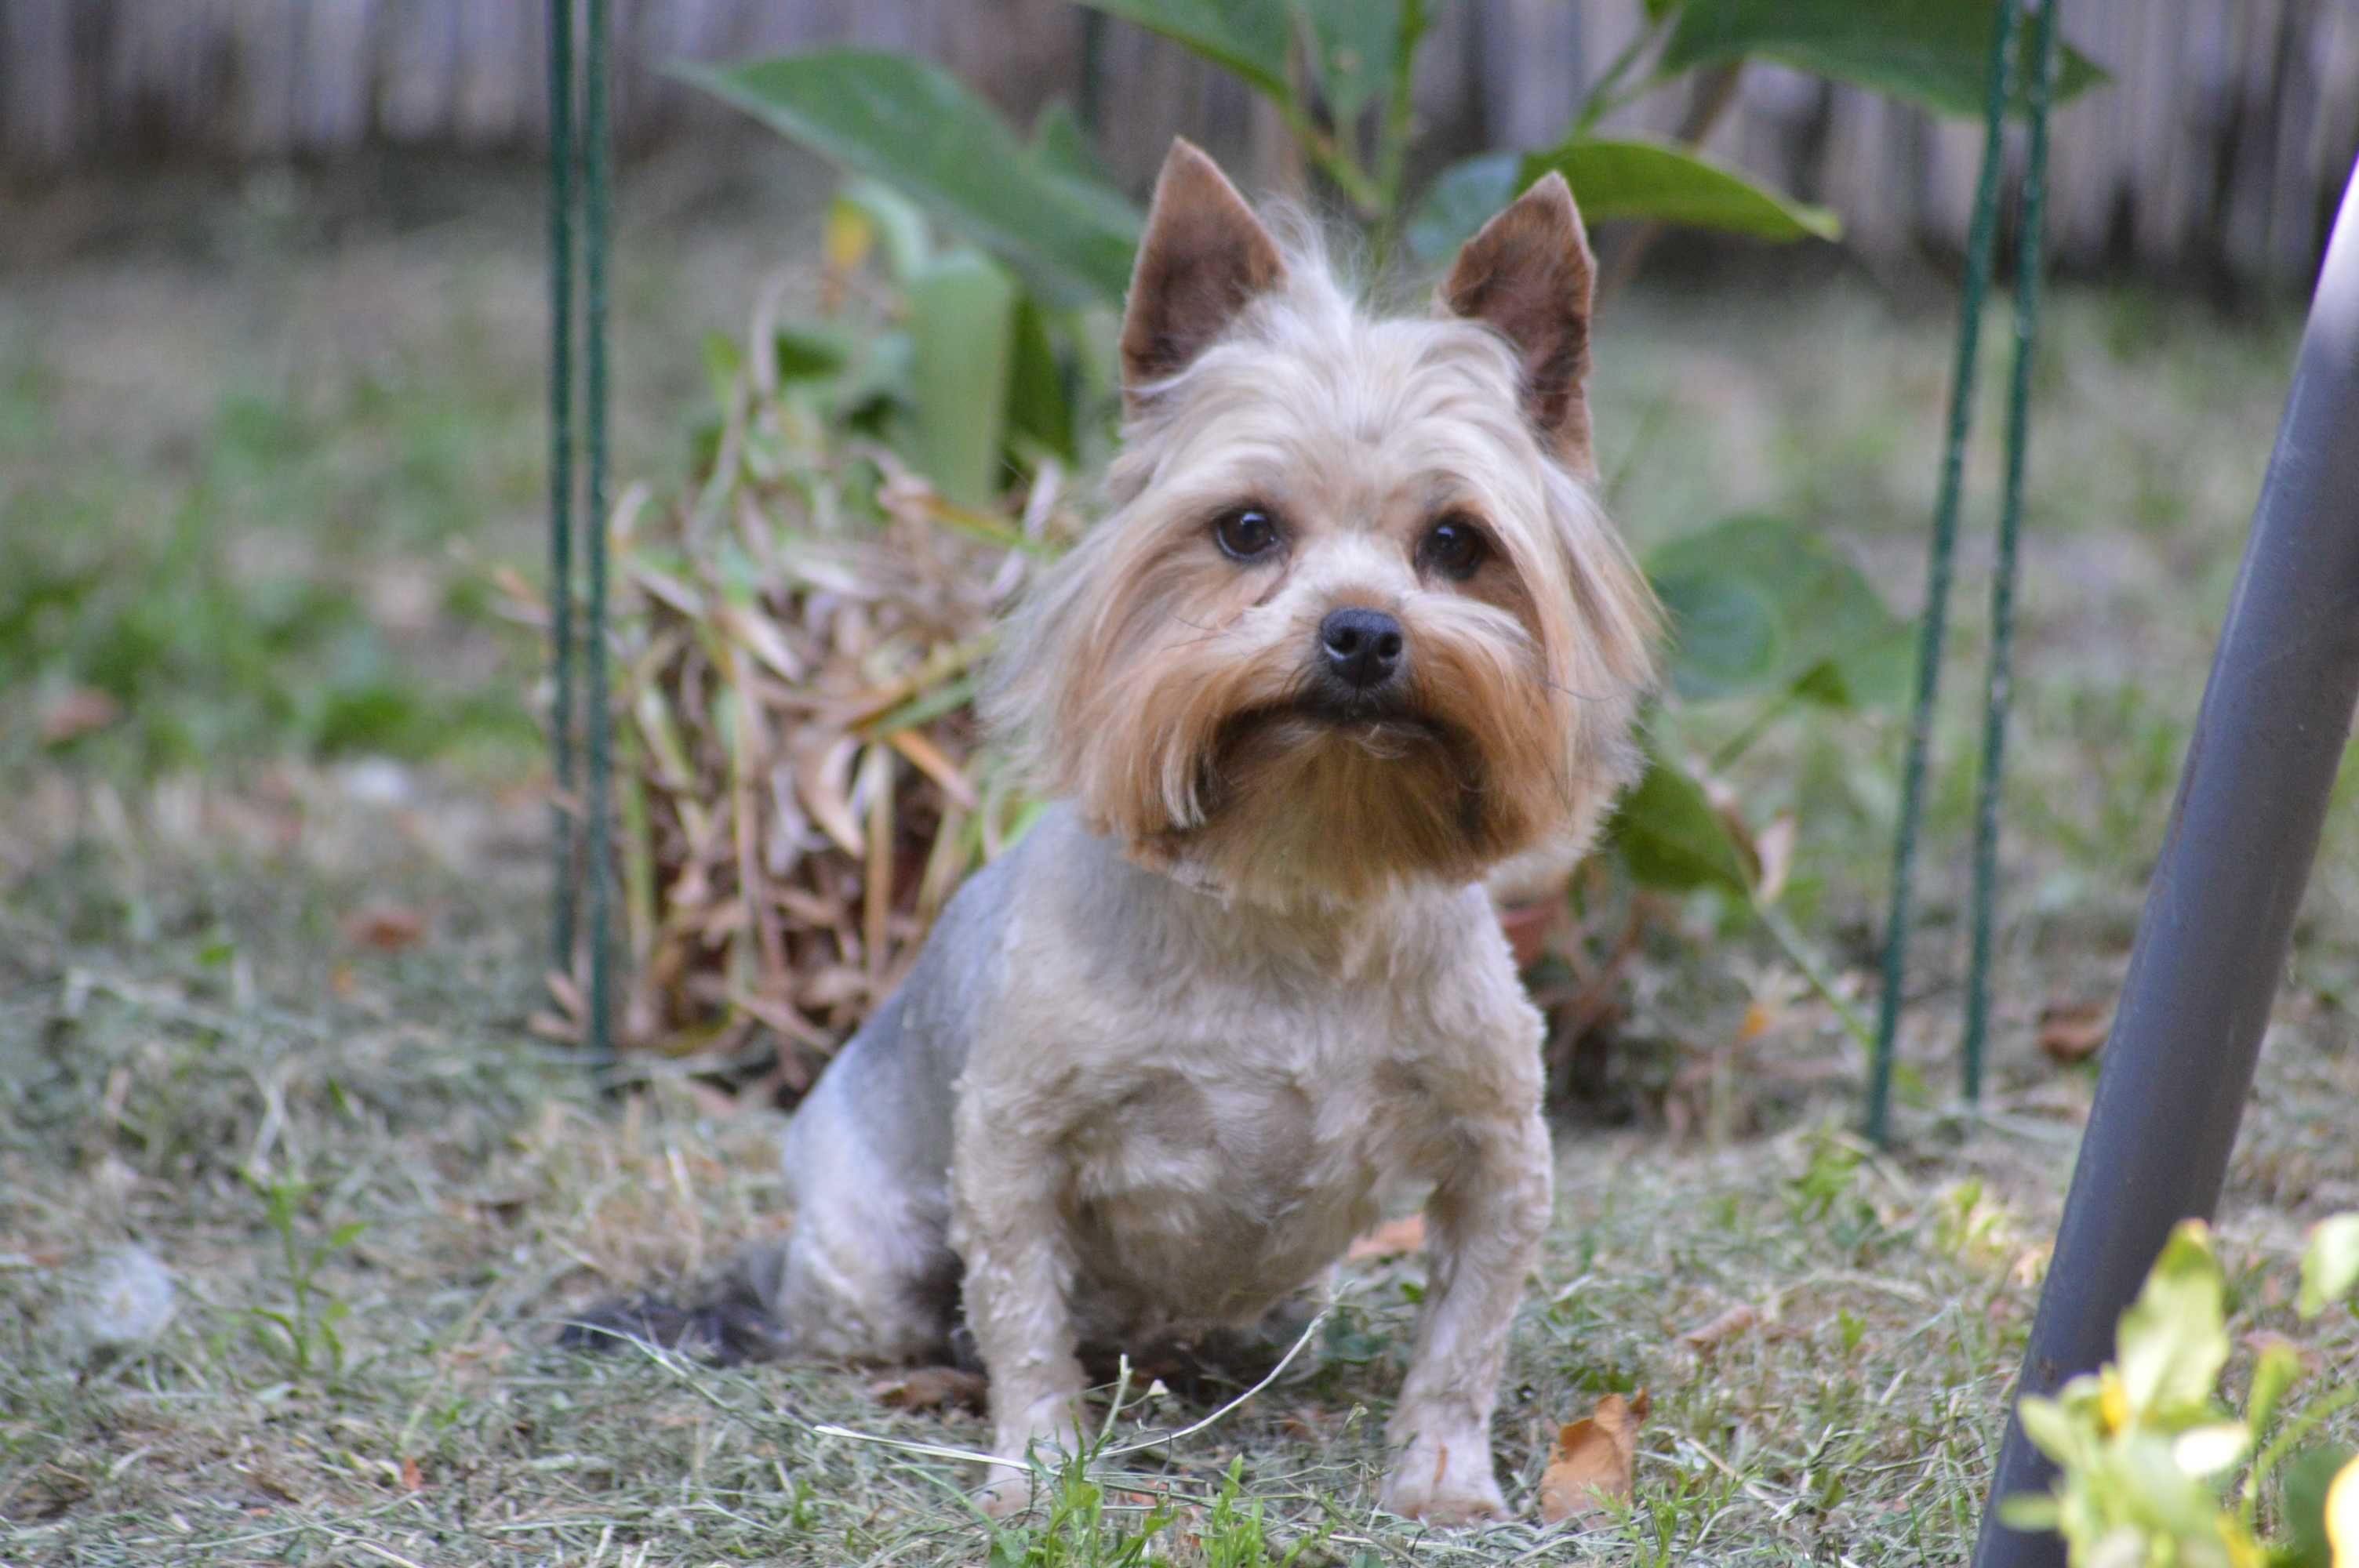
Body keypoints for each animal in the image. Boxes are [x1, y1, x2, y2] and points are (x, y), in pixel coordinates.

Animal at [740, 143, 1660, 1518]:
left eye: (1456, 544)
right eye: (1247, 529)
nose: (1362, 631)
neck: (1296, 867)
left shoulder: (1501, 1148)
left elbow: (1465, 1336)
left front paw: (1441, 1479)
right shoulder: (1012, 1144)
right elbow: (1023, 1321)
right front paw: (1040, 1468)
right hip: (868, 1258)